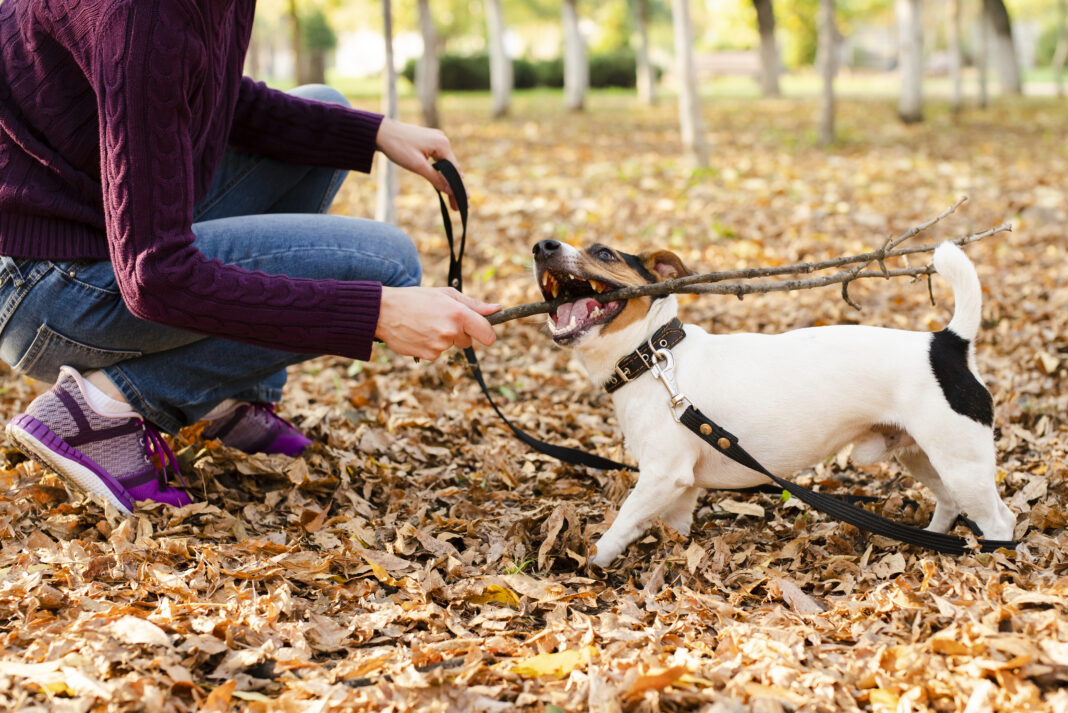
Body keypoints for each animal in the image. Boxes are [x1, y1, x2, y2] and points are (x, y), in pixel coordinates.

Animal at [534, 239, 1016, 567]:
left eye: (604, 253)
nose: (543, 246)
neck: (653, 356)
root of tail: (947, 343)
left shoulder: (662, 476)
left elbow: (621, 524)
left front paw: (591, 559)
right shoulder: (681, 486)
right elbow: (676, 526)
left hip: (961, 463)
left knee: (1000, 522)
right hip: (923, 457)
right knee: (951, 504)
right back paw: (933, 544)